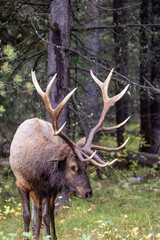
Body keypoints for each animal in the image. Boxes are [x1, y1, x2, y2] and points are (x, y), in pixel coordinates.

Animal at [9, 68, 130, 239]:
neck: (37, 170)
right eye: (73, 166)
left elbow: (46, 215)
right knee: (34, 213)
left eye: (86, 166)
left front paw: (49, 236)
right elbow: (27, 215)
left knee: (47, 213)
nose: (88, 193)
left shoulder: (50, 188)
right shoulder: (22, 183)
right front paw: (30, 235)